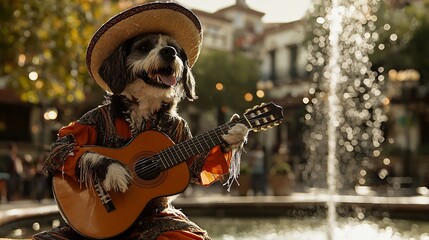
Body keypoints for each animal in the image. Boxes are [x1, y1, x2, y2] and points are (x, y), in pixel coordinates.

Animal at [78, 32, 249, 193]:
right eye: (144, 47)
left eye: (175, 49)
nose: (169, 51)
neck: (144, 106)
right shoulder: (91, 119)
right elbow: (73, 147)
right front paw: (113, 172)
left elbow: (199, 166)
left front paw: (235, 134)